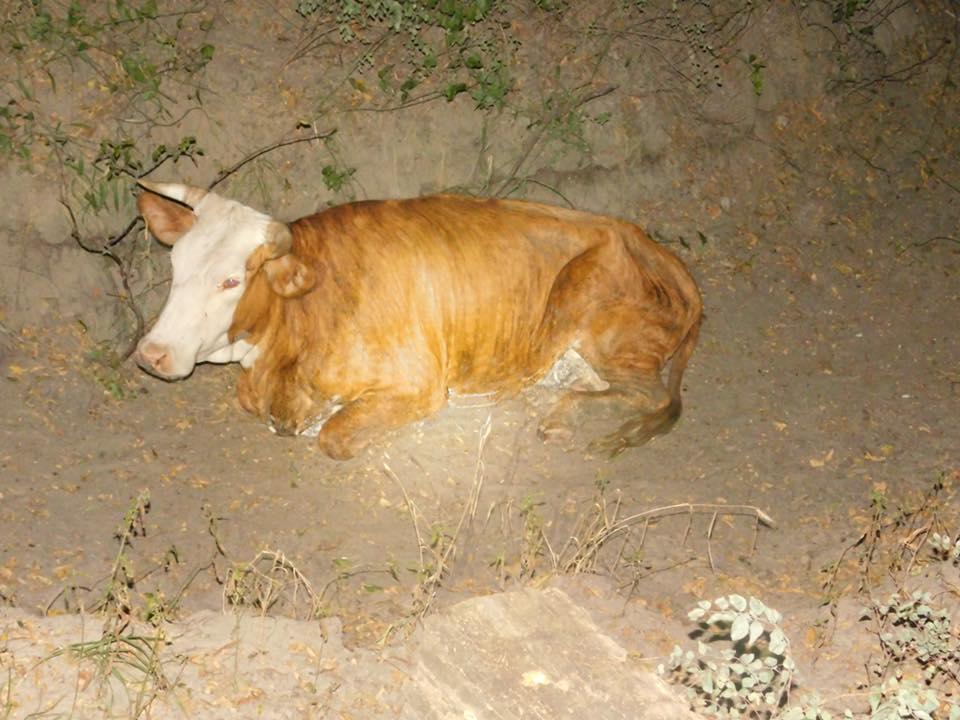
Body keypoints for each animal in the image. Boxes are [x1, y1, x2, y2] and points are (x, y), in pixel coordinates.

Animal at [135, 181, 700, 462]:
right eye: (175, 264)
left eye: (231, 280)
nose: (152, 354)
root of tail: (647, 243)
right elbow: (249, 399)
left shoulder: (419, 384)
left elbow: (335, 435)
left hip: (595, 312)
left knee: (652, 395)